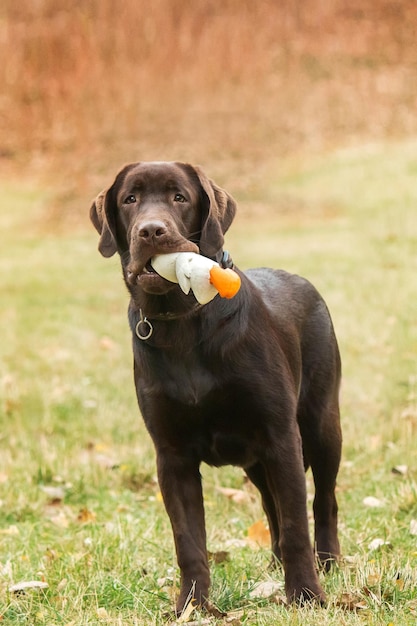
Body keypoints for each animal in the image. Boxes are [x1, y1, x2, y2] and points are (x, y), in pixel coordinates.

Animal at [90, 161, 342, 616]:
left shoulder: (281, 435)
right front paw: (192, 606)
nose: (151, 231)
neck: (181, 322)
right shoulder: (172, 456)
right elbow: (189, 541)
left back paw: (327, 563)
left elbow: (298, 523)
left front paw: (306, 595)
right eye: (130, 199)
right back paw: (275, 563)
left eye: (180, 197)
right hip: (258, 459)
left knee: (323, 499)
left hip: (320, 425)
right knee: (270, 504)